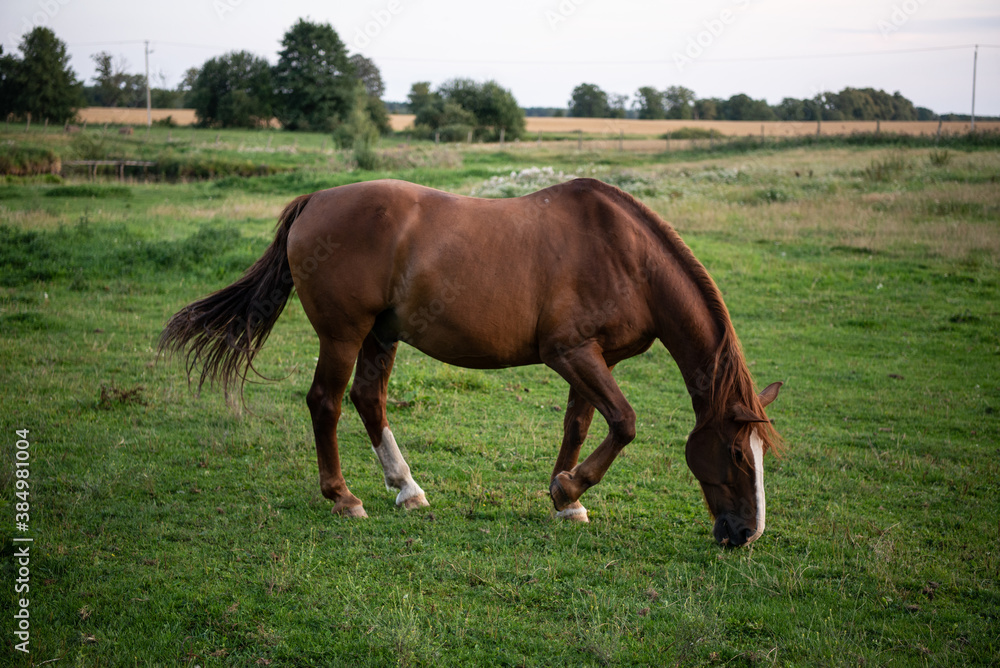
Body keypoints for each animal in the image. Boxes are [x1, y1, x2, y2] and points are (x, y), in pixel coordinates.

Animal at [160, 179, 780, 548]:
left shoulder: (591, 357)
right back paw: (344, 497)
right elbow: (624, 422)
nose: (746, 533)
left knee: (367, 399)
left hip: (382, 334)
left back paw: (406, 488)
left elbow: (580, 424)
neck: (625, 255)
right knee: (326, 403)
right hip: (343, 334)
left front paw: (566, 500)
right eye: (734, 454)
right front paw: (568, 490)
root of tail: (315, 200)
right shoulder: (571, 353)